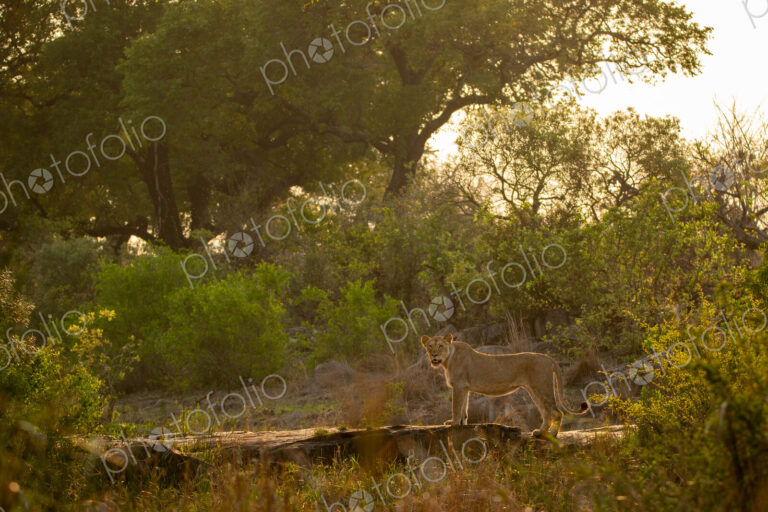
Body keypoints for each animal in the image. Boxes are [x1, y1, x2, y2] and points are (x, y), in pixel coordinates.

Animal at [420, 333, 589, 437]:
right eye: (429, 346)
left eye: (440, 346)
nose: (434, 355)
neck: (447, 360)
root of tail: (547, 357)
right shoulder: (464, 387)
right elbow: (464, 409)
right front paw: (462, 423)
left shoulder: (459, 385)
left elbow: (456, 407)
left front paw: (453, 423)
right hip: (534, 390)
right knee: (546, 413)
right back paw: (540, 433)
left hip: (542, 387)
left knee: (556, 412)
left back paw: (552, 435)